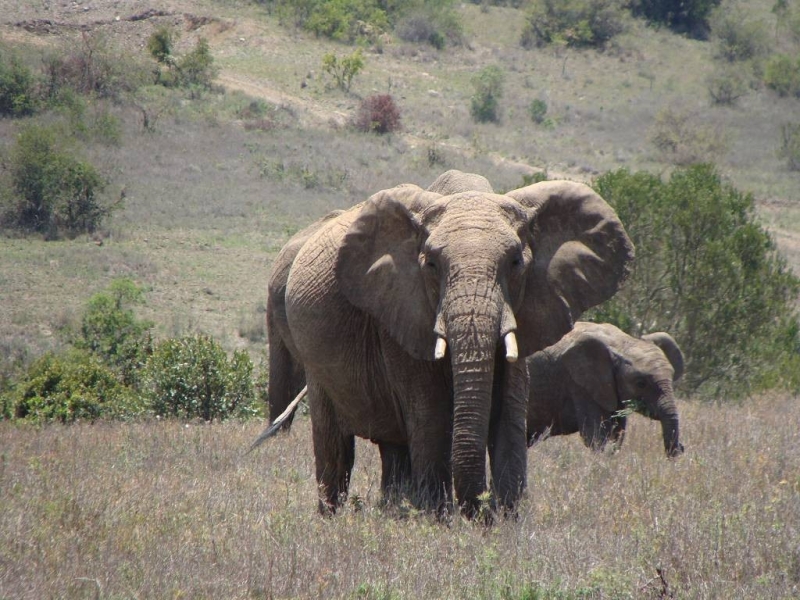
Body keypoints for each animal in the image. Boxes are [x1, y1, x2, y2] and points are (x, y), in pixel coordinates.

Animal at [266, 171, 636, 516]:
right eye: (431, 265)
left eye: (516, 262)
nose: (481, 509)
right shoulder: (400, 310)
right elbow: (430, 414)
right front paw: (440, 523)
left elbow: (508, 411)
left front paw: (505, 525)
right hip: (313, 357)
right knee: (336, 445)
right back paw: (334, 517)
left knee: (393, 448)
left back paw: (396, 512)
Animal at [524, 324, 688, 454]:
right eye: (641, 383)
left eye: (672, 377)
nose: (681, 447)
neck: (621, 344)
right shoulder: (580, 385)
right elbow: (596, 435)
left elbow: (617, 434)